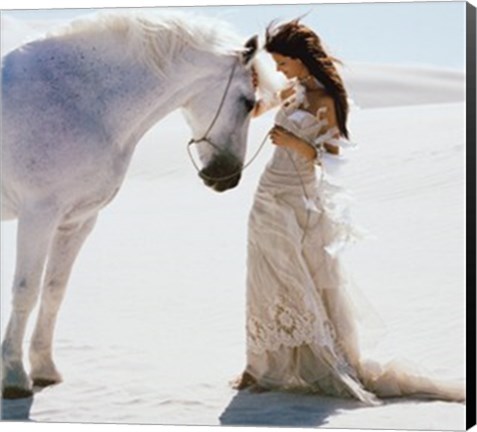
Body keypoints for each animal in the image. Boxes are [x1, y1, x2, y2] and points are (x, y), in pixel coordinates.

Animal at [0, 11, 260, 400]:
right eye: (248, 103)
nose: (226, 178)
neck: (78, 100)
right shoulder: (38, 217)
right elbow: (25, 292)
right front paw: (15, 377)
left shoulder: (77, 221)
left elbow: (54, 292)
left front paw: (44, 369)